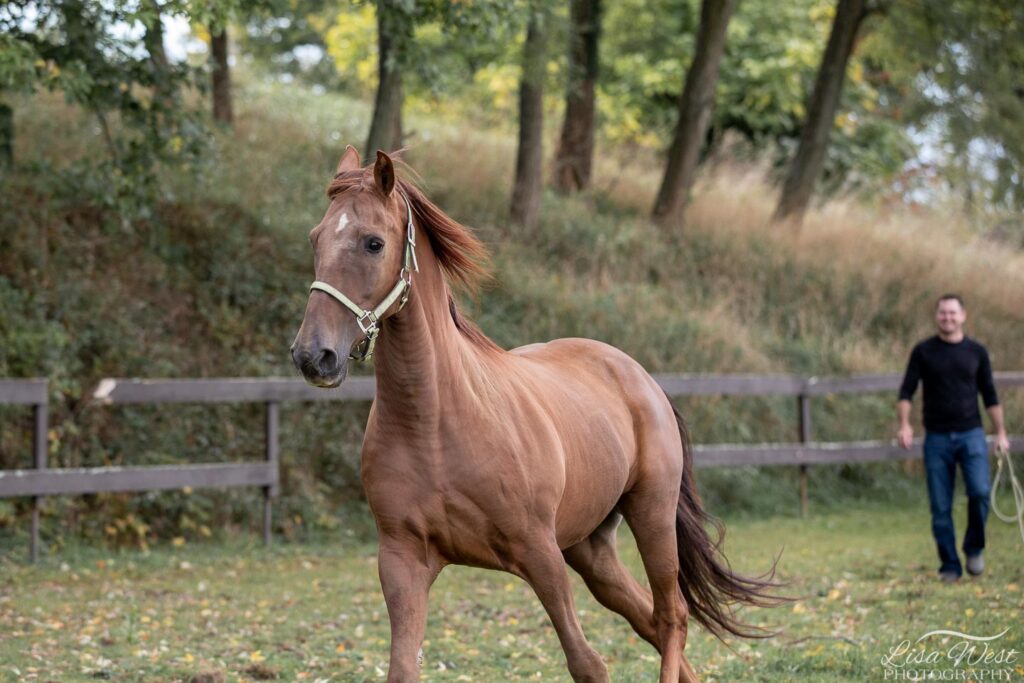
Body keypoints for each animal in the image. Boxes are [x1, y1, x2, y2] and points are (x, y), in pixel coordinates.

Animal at [288, 149, 774, 683]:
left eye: (373, 243)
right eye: (315, 237)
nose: (314, 356)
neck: (435, 423)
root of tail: (641, 378)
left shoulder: (539, 554)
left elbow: (588, 664)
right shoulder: (402, 561)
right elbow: (402, 669)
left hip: (651, 515)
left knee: (671, 617)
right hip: (591, 550)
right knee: (649, 619)